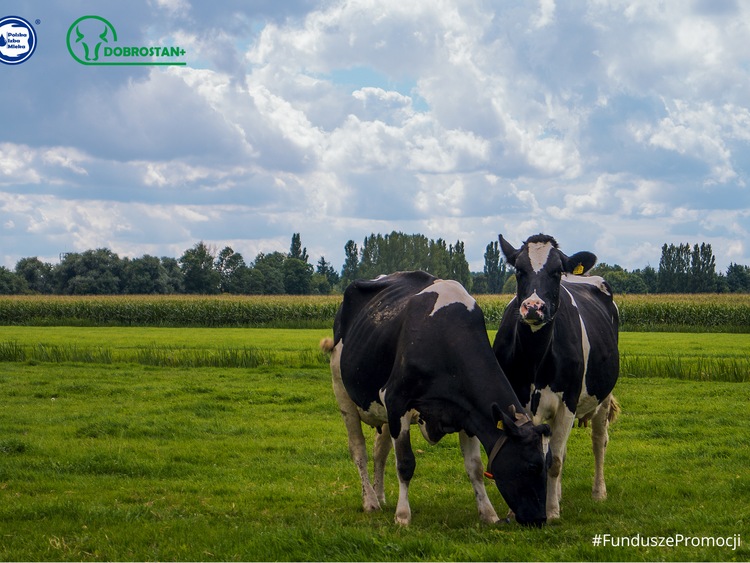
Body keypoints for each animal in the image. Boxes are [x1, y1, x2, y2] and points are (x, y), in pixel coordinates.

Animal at [324, 270, 552, 528]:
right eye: (532, 466)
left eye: (548, 465)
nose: (540, 519)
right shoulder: (396, 401)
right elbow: (405, 463)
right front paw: (403, 516)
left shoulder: (467, 413)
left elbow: (474, 467)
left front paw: (488, 514)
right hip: (342, 391)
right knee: (359, 450)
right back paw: (370, 502)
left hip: (380, 411)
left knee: (378, 453)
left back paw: (380, 496)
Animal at [494, 234, 624, 520]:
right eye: (519, 270)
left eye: (555, 272)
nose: (533, 307)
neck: (535, 358)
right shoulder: (515, 400)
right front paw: (515, 512)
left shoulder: (568, 402)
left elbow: (554, 461)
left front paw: (552, 511)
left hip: (603, 396)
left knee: (599, 441)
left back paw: (598, 492)